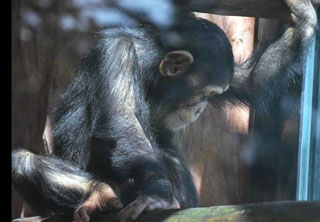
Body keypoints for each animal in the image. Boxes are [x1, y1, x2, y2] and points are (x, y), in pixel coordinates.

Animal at [11, 0, 316, 221]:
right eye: (203, 94)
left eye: (213, 95)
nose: (200, 107)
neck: (151, 68)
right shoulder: (118, 52)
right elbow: (122, 119)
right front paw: (157, 194)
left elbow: (252, 79)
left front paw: (304, 19)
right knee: (22, 160)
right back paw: (99, 192)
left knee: (169, 154)